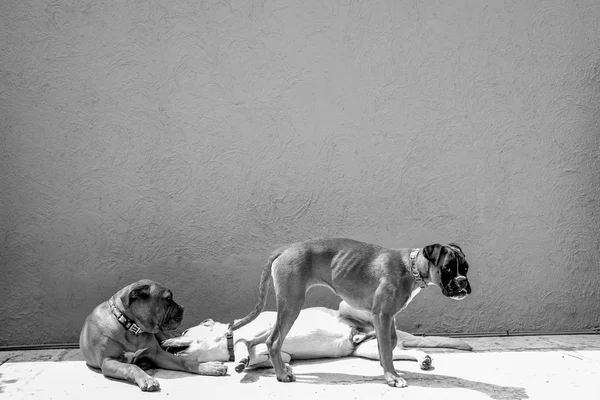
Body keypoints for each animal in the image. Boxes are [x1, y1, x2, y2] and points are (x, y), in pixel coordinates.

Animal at [79, 278, 227, 390]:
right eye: (168, 299)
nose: (182, 307)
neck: (132, 328)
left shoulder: (158, 353)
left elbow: (184, 361)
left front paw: (208, 367)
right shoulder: (108, 361)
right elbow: (131, 367)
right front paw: (146, 379)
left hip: (162, 338)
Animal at [232, 238, 472, 388]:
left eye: (466, 268)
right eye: (448, 268)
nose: (463, 282)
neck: (410, 267)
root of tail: (286, 248)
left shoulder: (387, 317)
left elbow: (390, 343)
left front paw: (386, 368)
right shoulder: (382, 315)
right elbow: (387, 348)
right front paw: (392, 378)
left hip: (287, 308)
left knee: (262, 340)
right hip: (291, 305)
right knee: (273, 341)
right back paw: (282, 374)